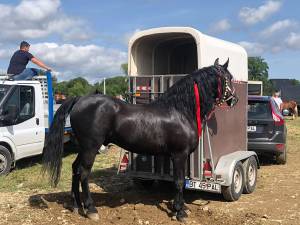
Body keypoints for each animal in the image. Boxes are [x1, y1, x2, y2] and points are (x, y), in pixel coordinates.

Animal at [42, 58, 239, 221]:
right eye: (229, 77)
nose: (234, 100)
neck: (180, 111)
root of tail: (80, 99)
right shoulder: (179, 155)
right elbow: (179, 182)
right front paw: (180, 212)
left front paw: (179, 209)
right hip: (91, 147)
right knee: (83, 173)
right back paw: (91, 210)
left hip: (83, 148)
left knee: (75, 169)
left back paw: (77, 205)